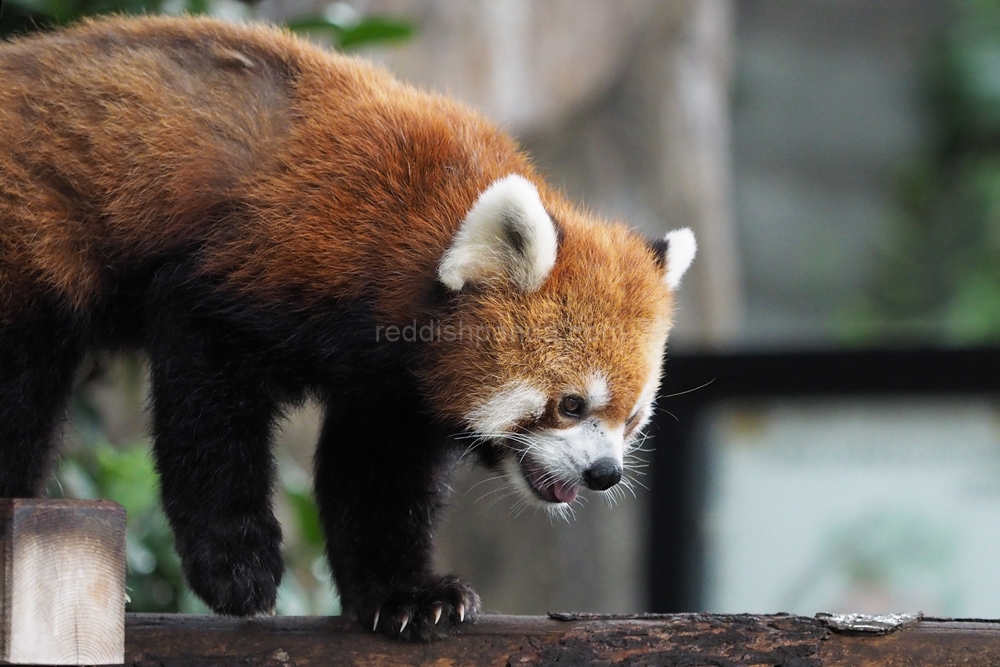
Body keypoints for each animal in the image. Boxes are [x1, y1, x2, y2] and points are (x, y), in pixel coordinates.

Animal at [0, 15, 696, 640]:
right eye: (571, 404)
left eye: (634, 418)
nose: (604, 473)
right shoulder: (260, 264)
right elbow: (209, 417)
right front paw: (237, 567)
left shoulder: (393, 392)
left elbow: (376, 475)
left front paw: (406, 595)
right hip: (31, 239)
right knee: (23, 386)